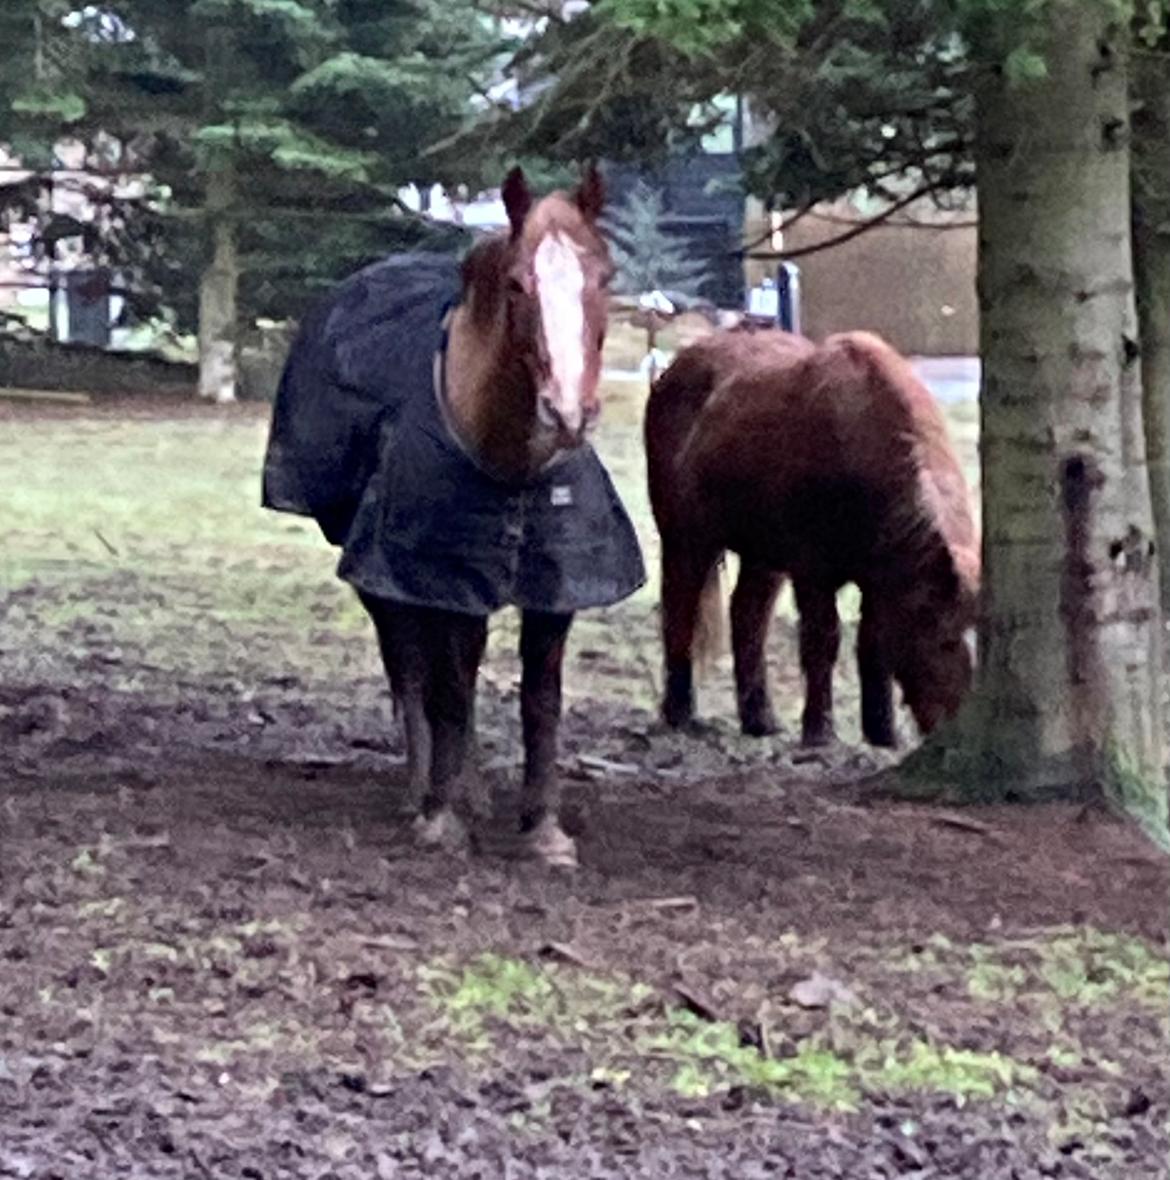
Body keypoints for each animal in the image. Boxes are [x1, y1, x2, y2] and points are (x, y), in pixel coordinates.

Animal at [265, 166, 646, 868]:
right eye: (519, 283)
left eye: (605, 277)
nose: (567, 413)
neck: (508, 461)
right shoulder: (440, 576)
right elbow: (446, 687)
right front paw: (441, 816)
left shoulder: (555, 587)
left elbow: (539, 700)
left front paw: (543, 828)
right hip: (386, 578)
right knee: (412, 665)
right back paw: (428, 789)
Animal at [651, 325, 976, 745]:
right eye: (946, 640)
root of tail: (678, 363)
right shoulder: (813, 572)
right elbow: (822, 641)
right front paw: (820, 731)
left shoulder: (882, 579)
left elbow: (874, 647)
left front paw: (882, 734)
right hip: (686, 538)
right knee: (680, 610)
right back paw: (679, 711)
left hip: (763, 556)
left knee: (748, 617)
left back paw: (760, 718)